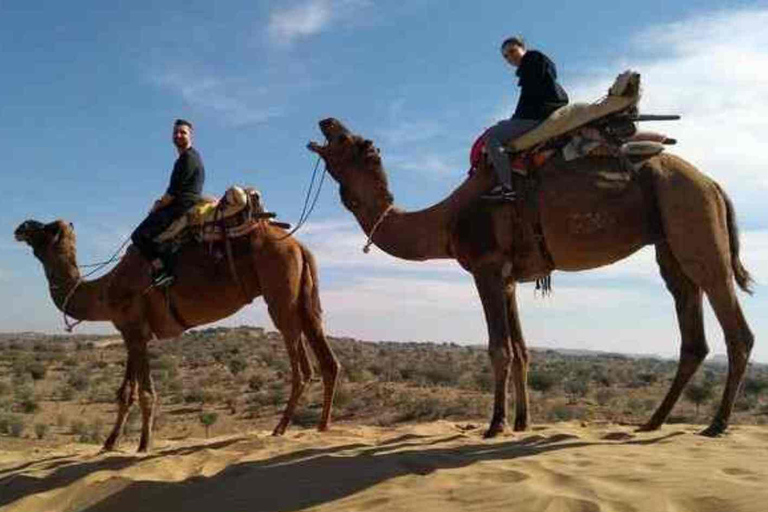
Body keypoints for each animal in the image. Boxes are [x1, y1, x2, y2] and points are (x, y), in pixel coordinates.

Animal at [13, 220, 340, 452]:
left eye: (46, 228)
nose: (21, 227)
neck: (103, 291)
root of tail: (299, 246)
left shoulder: (134, 330)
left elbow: (145, 392)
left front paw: (143, 445)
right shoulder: (133, 333)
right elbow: (125, 392)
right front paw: (109, 443)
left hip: (280, 293)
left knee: (301, 365)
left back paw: (281, 427)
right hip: (304, 295)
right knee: (327, 357)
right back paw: (321, 426)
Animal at [308, 118, 752, 438]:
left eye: (347, 139)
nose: (325, 121)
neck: (447, 220)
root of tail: (713, 183)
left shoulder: (486, 268)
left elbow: (499, 349)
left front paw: (495, 425)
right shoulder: (509, 278)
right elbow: (521, 350)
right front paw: (522, 422)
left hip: (693, 217)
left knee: (734, 325)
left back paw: (716, 424)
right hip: (670, 242)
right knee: (691, 327)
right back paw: (653, 421)